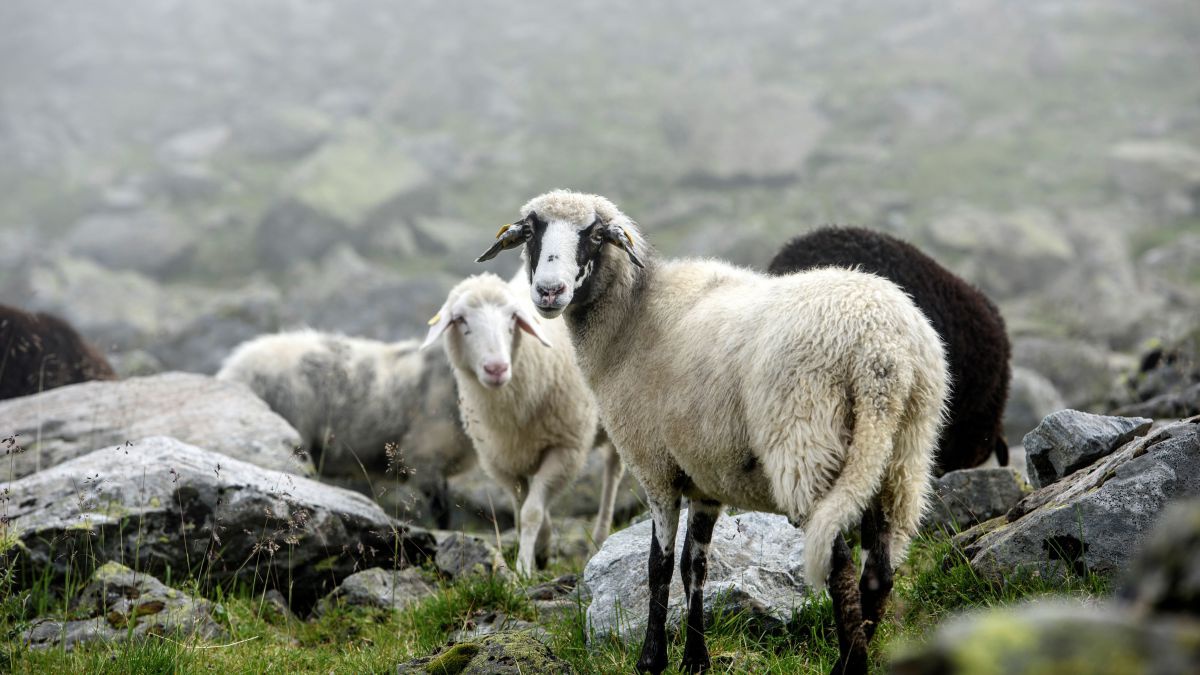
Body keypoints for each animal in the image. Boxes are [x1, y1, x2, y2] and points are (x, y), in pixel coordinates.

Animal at [422, 270, 624, 576]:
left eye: (512, 319)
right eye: (460, 320)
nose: (496, 368)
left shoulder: (565, 448)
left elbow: (532, 512)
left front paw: (524, 568)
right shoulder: (500, 461)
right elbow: (522, 509)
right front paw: (542, 547)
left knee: (613, 470)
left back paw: (600, 538)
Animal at [472, 189, 950, 672]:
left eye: (593, 235)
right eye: (532, 231)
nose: (549, 291)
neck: (634, 316)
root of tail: (881, 351)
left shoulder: (655, 467)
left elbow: (659, 566)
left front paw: (651, 658)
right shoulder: (705, 477)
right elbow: (694, 566)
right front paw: (695, 659)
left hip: (807, 442)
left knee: (839, 564)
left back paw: (846, 666)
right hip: (901, 454)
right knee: (879, 571)